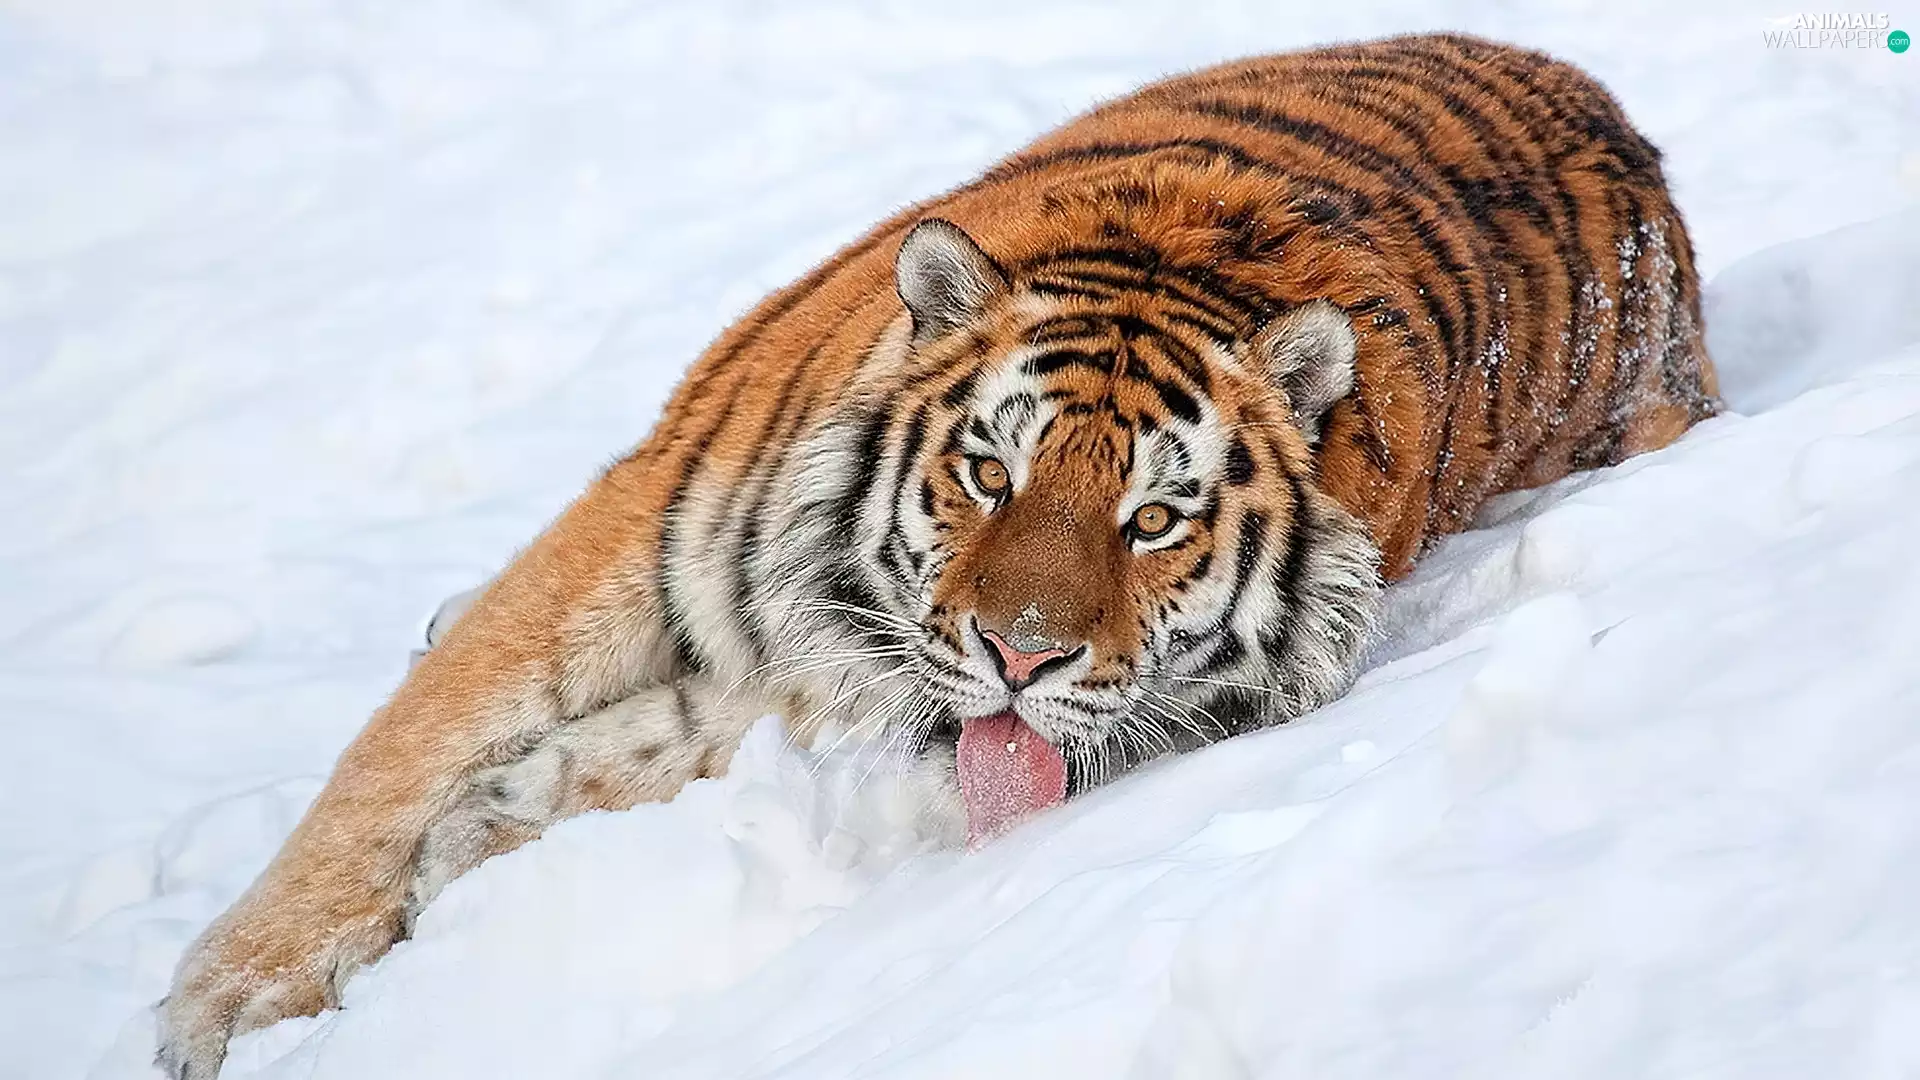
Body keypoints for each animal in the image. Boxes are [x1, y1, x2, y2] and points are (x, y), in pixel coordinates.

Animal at [159, 32, 1718, 1078]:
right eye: (988, 473)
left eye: (1156, 520)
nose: (1019, 658)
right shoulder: (643, 529)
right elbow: (400, 754)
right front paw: (227, 1000)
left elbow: (627, 746)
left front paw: (482, 834)